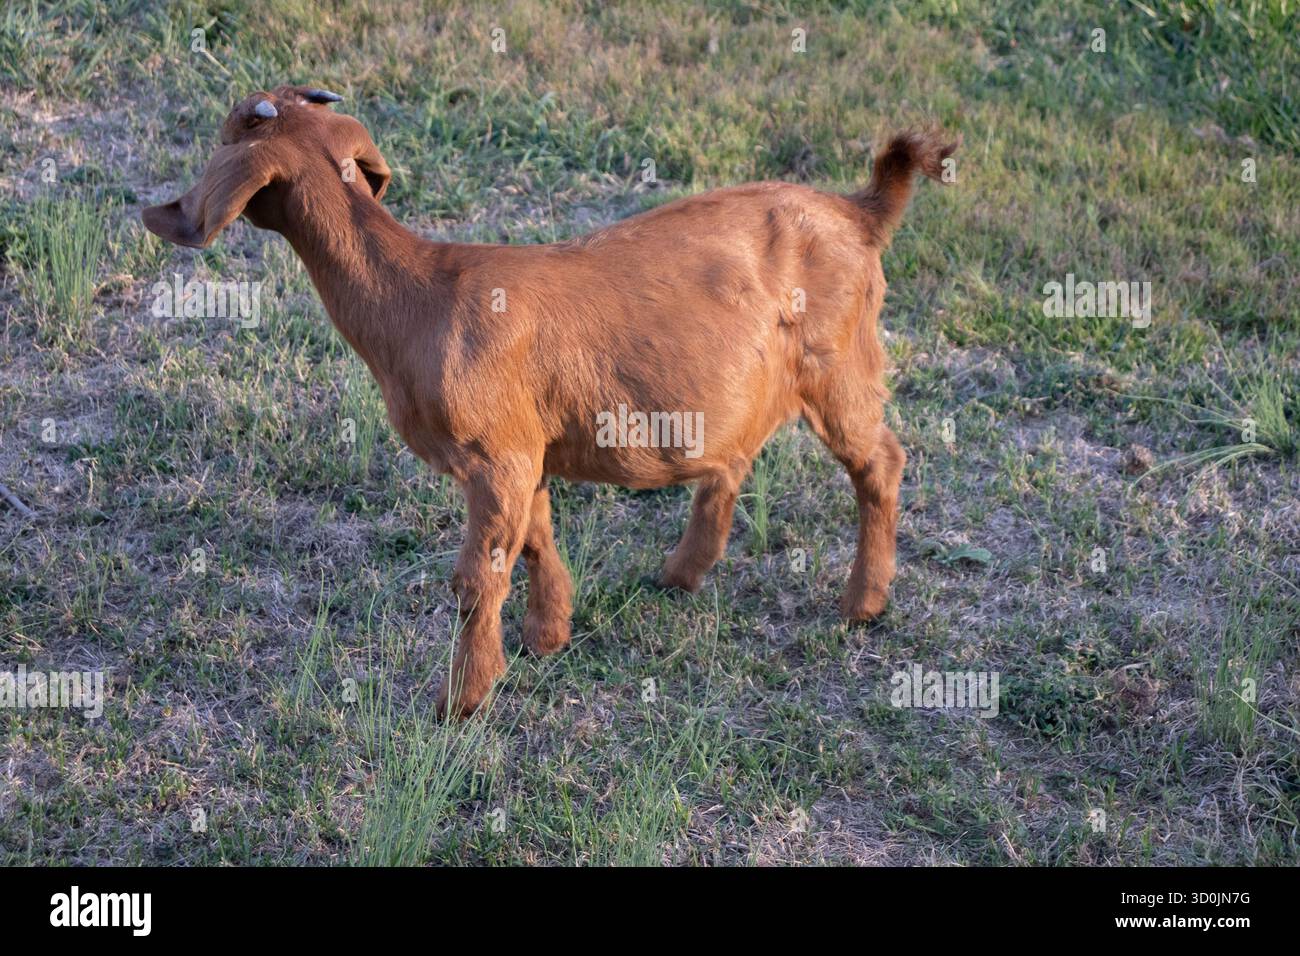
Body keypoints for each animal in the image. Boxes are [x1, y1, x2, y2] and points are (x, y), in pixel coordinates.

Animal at [143, 86, 957, 717]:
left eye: (233, 131)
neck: (421, 295)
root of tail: (861, 211)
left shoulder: (494, 454)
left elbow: (478, 576)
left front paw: (461, 701)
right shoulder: (520, 451)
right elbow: (533, 536)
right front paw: (548, 638)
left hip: (839, 365)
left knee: (879, 461)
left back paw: (862, 604)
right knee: (735, 460)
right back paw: (680, 573)